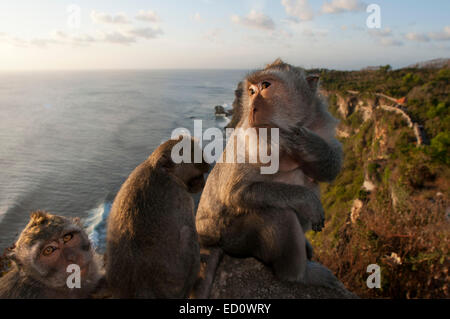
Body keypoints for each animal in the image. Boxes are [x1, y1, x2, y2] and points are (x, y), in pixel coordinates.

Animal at [106, 137, 210, 300]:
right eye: (192, 153)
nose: (207, 163)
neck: (164, 172)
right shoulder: (181, 197)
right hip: (177, 283)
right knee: (188, 233)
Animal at [195, 58, 342, 288]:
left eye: (265, 86)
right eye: (251, 91)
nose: (253, 107)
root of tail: (206, 238)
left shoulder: (320, 125)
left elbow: (331, 168)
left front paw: (307, 144)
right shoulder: (245, 142)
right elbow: (235, 192)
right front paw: (307, 200)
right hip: (236, 239)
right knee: (278, 213)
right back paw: (300, 276)